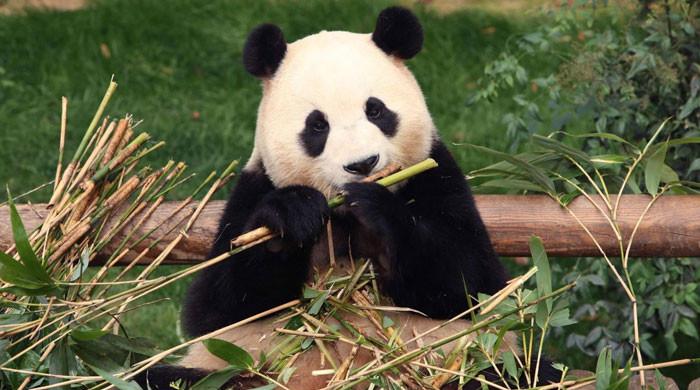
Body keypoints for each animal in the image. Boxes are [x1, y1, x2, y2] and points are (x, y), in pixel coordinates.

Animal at [138, 6, 556, 390]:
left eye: (376, 110)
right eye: (317, 125)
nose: (362, 164)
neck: (341, 221)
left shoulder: (436, 176)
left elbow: (471, 282)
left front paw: (376, 210)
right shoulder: (254, 187)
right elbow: (217, 307)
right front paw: (291, 217)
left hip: (468, 363)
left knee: (516, 373)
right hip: (234, 372)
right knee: (159, 377)